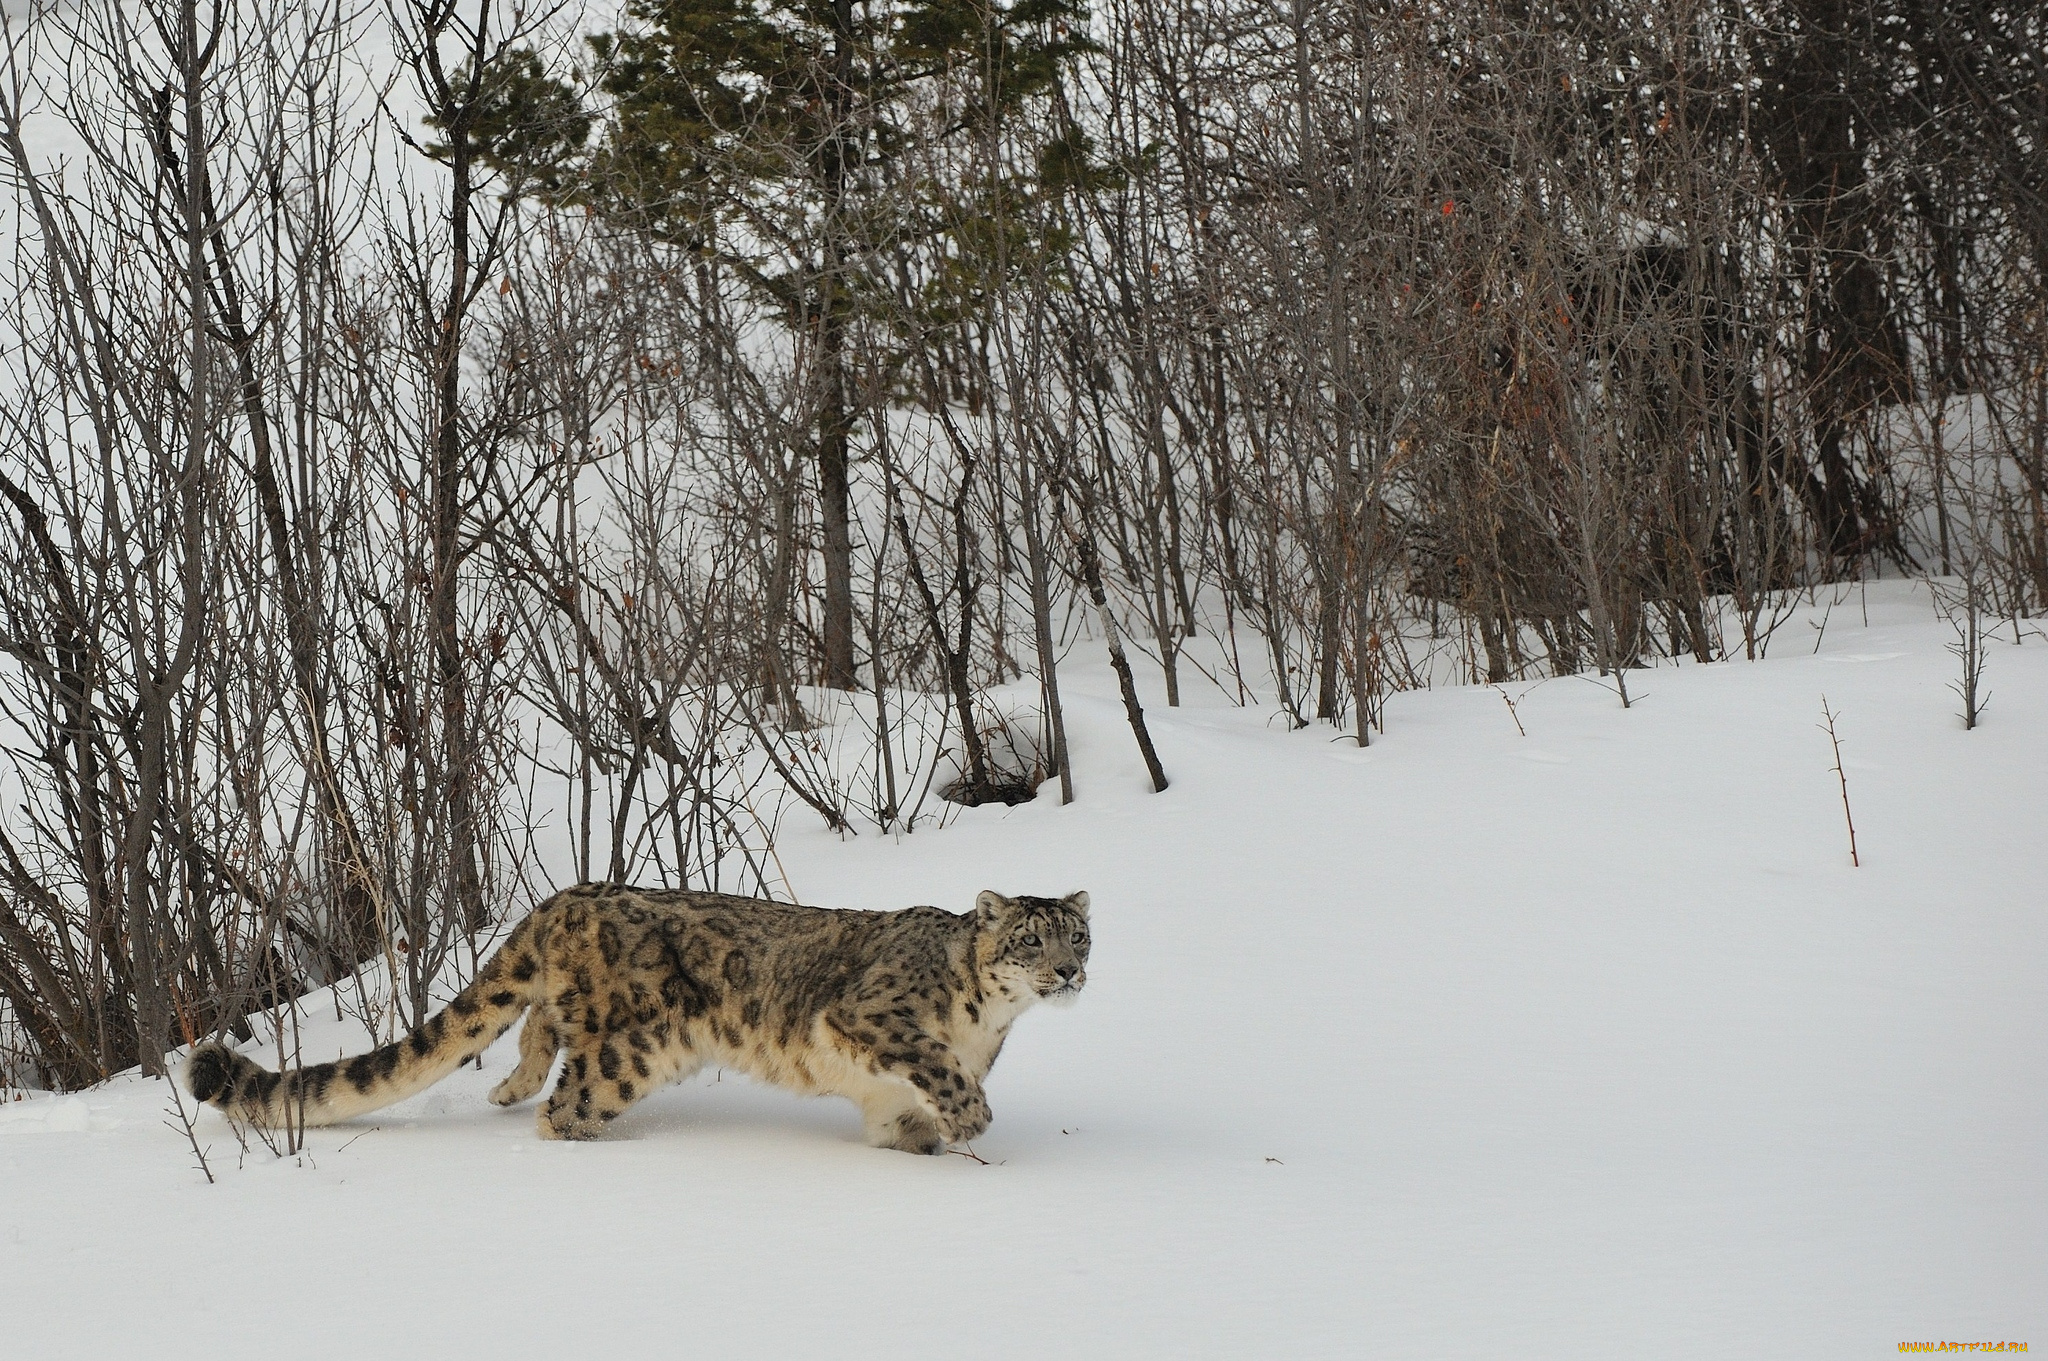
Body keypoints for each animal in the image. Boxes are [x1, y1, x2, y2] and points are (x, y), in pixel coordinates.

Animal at [184, 888, 1097, 1154]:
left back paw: (508, 1086)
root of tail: (560, 898)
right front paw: (971, 1115)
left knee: (534, 1026)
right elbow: (932, 1061)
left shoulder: (886, 1099)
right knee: (566, 1100)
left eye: (1078, 932)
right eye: (1030, 936)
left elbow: (905, 1122)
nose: (1068, 970)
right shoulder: (874, 1013)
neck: (992, 1023)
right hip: (634, 1046)